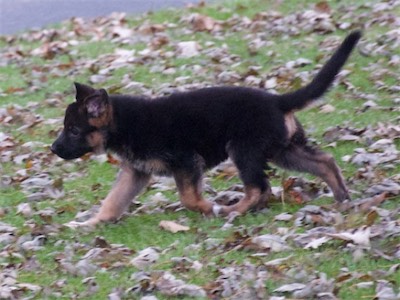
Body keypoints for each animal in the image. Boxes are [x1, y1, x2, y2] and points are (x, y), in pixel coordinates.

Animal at [51, 31, 360, 227]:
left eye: (74, 130)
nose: (53, 149)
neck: (124, 123)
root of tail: (277, 100)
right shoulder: (134, 172)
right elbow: (113, 201)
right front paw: (91, 223)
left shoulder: (186, 162)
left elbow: (188, 197)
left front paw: (206, 209)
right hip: (282, 150)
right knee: (324, 162)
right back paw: (342, 199)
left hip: (244, 150)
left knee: (259, 188)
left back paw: (232, 210)